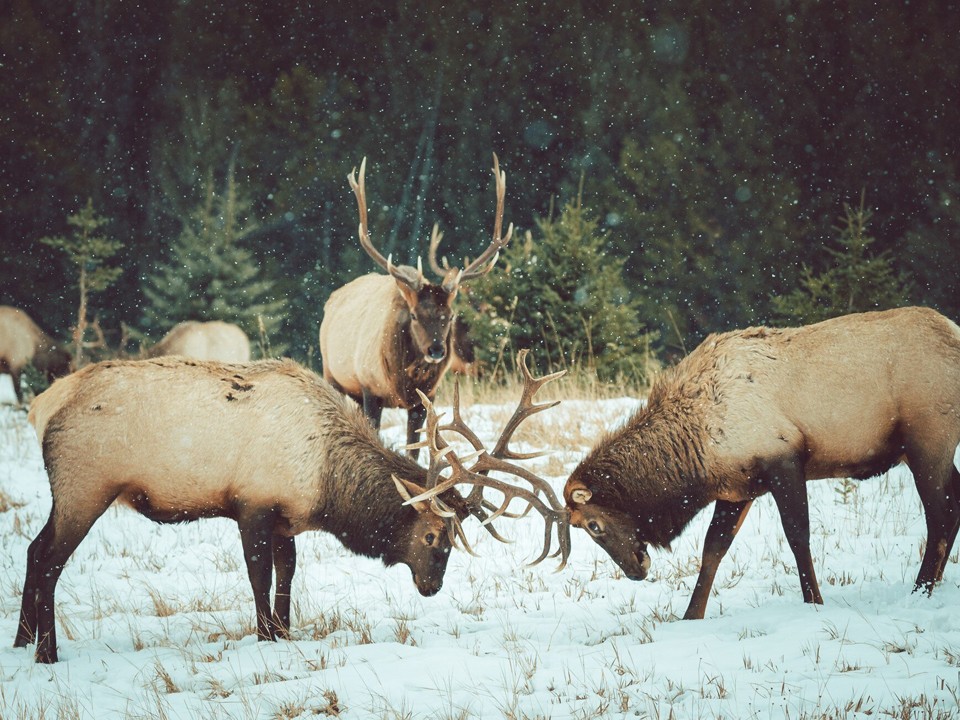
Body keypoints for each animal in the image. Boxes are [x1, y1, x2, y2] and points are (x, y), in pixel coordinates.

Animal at [320, 155, 516, 458]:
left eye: (450, 315)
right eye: (413, 315)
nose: (436, 350)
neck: (405, 382)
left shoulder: (425, 400)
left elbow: (415, 449)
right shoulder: (370, 389)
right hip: (332, 374)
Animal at [564, 306, 960, 620]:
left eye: (593, 525)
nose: (635, 570)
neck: (697, 448)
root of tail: (954, 333)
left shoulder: (783, 460)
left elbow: (798, 535)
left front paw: (814, 601)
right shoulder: (738, 488)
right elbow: (713, 548)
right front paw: (691, 616)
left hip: (928, 440)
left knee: (940, 515)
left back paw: (921, 590)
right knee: (951, 508)